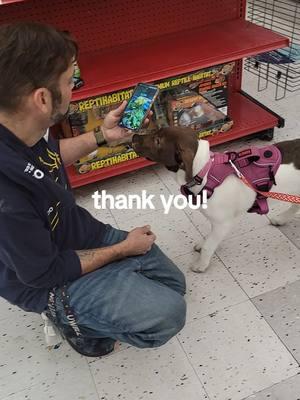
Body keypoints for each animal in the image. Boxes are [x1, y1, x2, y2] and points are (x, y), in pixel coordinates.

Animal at [132, 127, 300, 272]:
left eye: (158, 141)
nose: (134, 136)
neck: (205, 172)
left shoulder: (223, 223)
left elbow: (209, 246)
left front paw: (201, 264)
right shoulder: (217, 223)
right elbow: (209, 238)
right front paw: (205, 243)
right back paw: (281, 219)